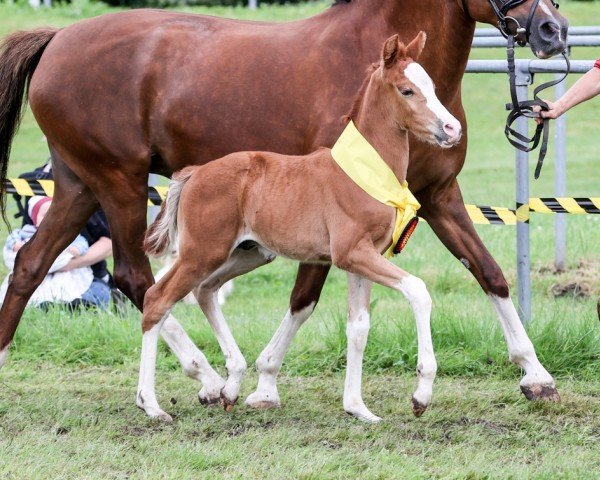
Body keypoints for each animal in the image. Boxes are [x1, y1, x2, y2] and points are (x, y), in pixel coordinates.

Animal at [139, 33, 460, 422]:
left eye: (432, 86)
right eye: (407, 90)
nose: (452, 129)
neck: (364, 172)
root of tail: (193, 173)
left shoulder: (363, 258)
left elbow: (358, 327)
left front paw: (357, 408)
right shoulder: (352, 253)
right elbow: (417, 290)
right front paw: (421, 394)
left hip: (248, 254)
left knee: (205, 290)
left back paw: (230, 385)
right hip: (202, 251)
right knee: (158, 299)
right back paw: (151, 404)